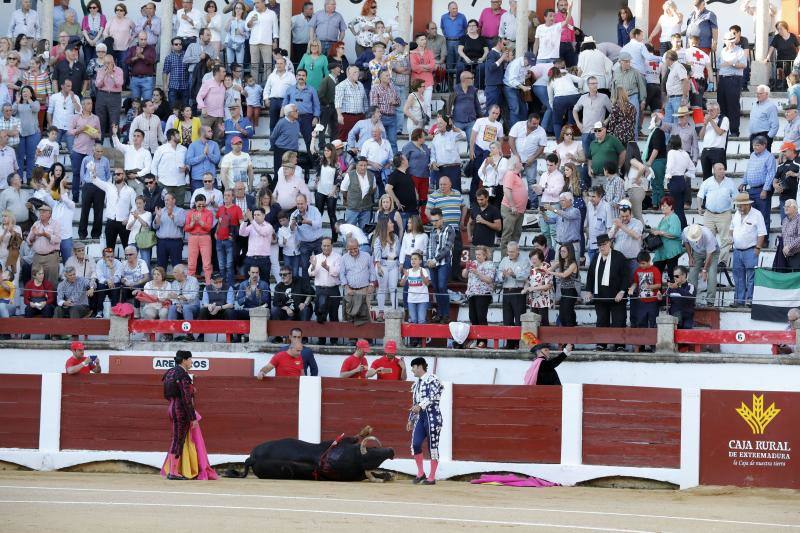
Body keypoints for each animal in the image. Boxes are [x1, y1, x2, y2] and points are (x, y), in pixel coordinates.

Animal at [225, 426, 394, 480]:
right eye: (373, 450)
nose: (391, 452)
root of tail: (251, 459)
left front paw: (387, 475)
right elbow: (353, 437)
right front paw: (366, 430)